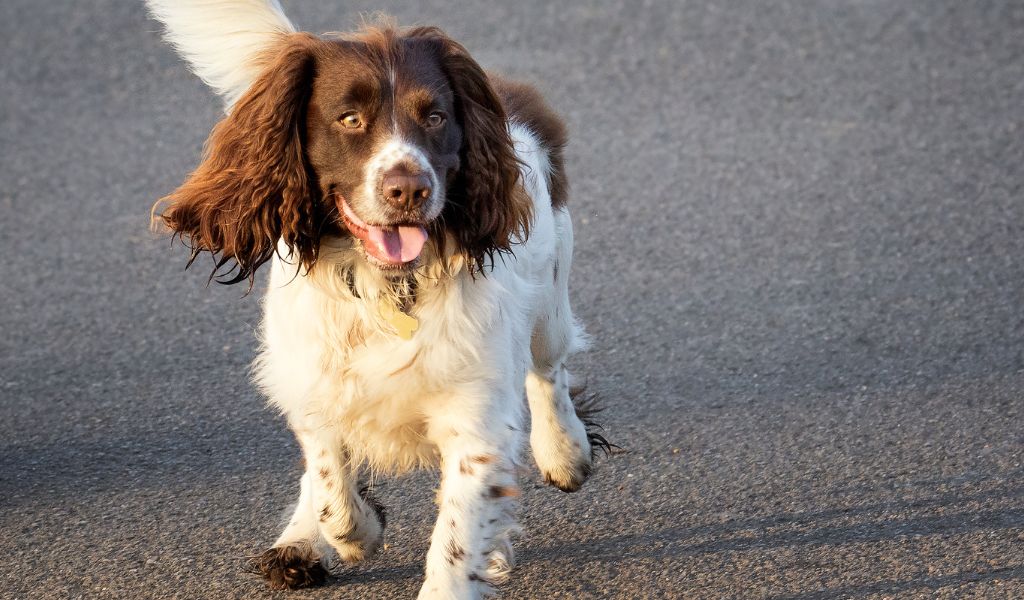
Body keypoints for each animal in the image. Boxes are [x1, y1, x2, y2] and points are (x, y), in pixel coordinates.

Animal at [145, 2, 606, 593]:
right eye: (349, 119)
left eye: (435, 117)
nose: (408, 189)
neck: (388, 285)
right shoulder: (315, 384)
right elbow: (330, 487)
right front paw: (350, 534)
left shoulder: (474, 416)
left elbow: (458, 533)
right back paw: (298, 543)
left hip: (550, 290)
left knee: (549, 369)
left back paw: (564, 453)